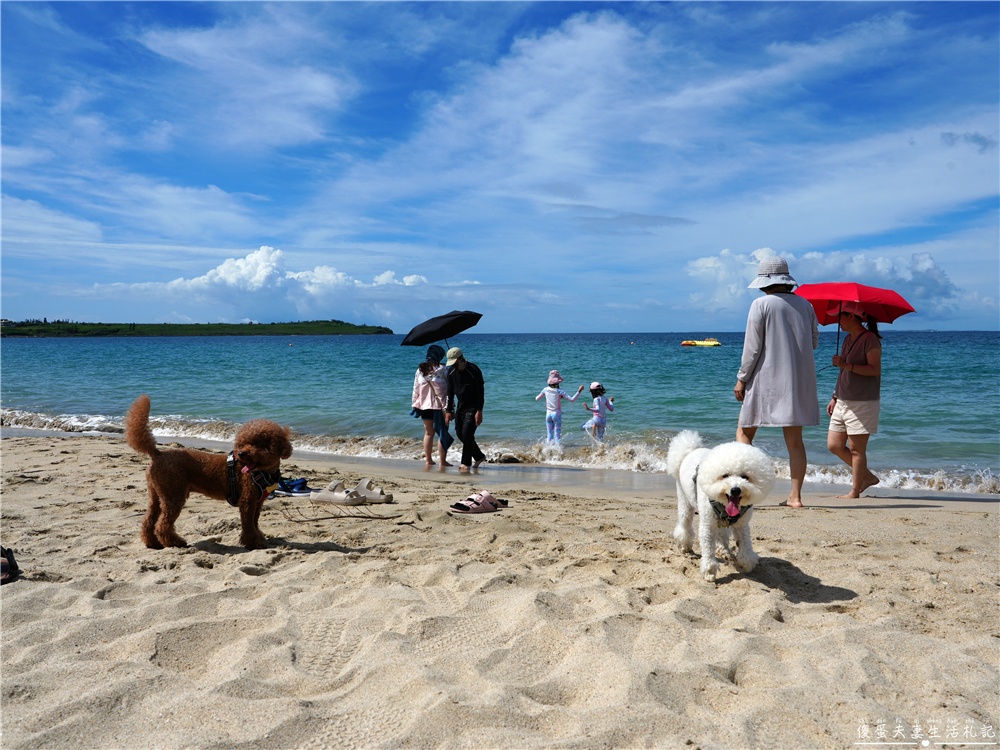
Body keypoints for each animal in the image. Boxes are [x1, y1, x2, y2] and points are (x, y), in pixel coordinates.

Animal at [668, 432, 776, 584]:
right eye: (725, 475)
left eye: (745, 477)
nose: (735, 490)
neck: (725, 505)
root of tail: (691, 450)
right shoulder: (707, 524)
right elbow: (707, 547)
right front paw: (709, 571)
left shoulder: (742, 524)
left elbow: (745, 541)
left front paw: (746, 561)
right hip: (684, 500)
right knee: (685, 523)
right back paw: (685, 546)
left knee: (721, 533)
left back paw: (724, 550)